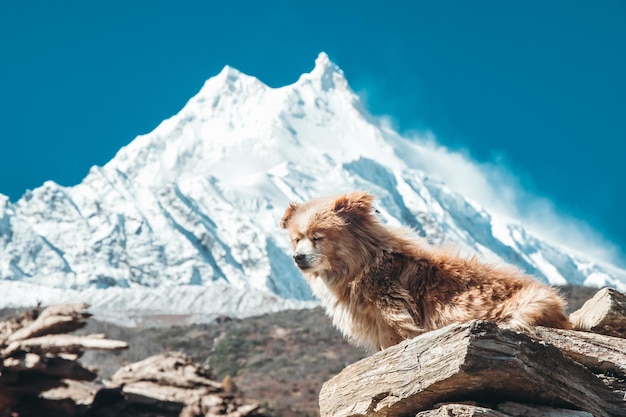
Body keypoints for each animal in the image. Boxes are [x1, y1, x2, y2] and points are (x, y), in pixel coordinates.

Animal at [280, 190, 568, 350]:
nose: (297, 258)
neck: (360, 264)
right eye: (296, 239)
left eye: (318, 237)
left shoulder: (392, 314)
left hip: (528, 306)